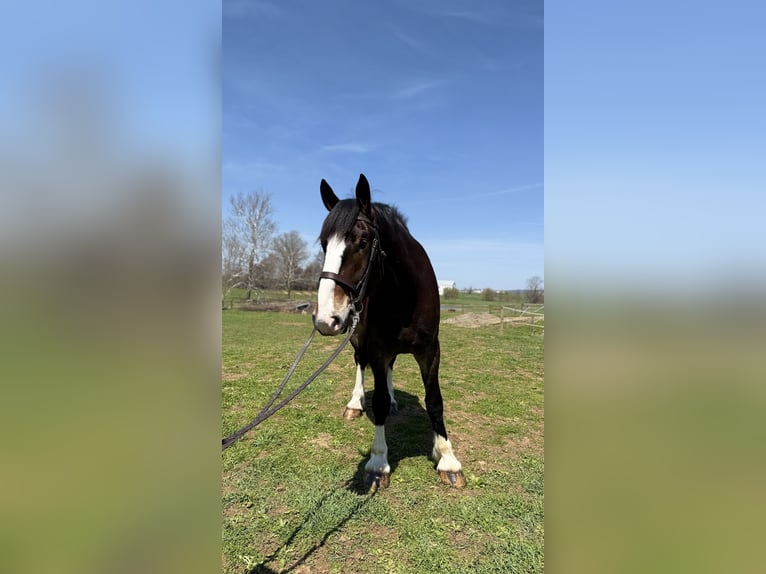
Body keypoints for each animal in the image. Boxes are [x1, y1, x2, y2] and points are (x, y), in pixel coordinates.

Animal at [313, 173, 466, 489]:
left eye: (362, 242)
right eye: (324, 245)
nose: (325, 319)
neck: (405, 293)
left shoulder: (430, 350)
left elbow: (434, 401)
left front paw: (447, 457)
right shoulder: (377, 348)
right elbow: (379, 403)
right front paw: (378, 463)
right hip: (358, 339)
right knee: (360, 364)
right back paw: (355, 403)